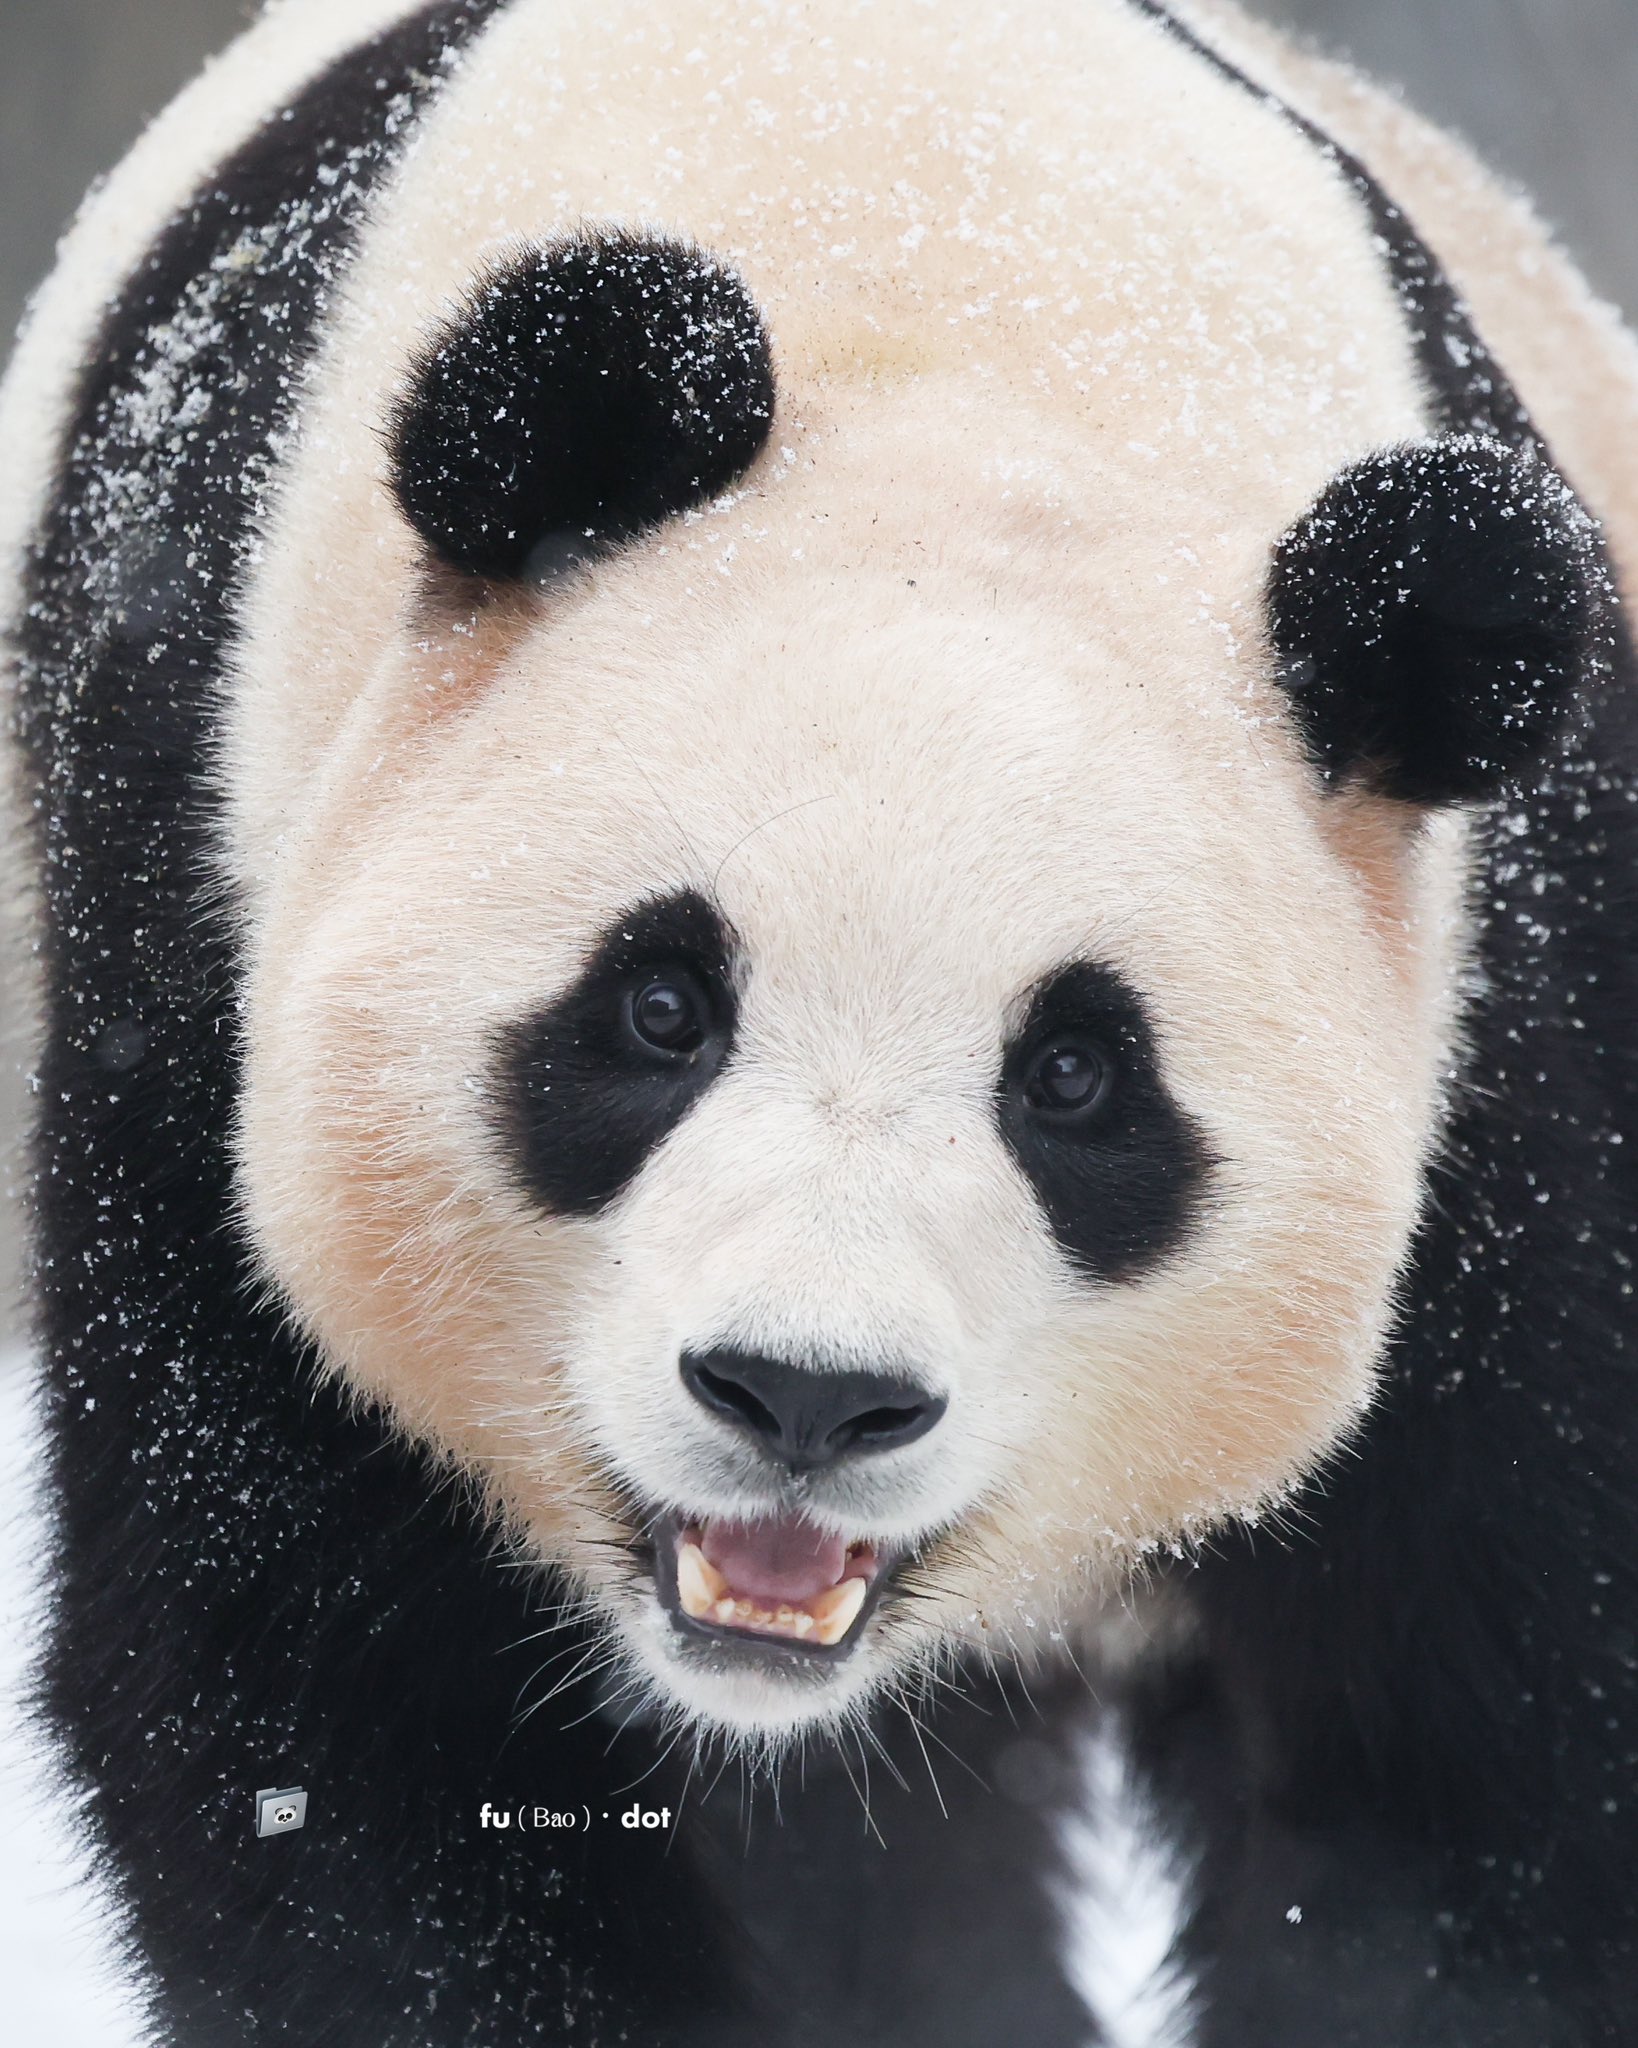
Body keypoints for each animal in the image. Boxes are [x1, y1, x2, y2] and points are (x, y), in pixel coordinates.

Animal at [3, 0, 1637, 2039]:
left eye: (1076, 1078)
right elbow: (338, 1733)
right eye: (659, 1006)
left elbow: (1459, 1791)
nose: (805, 1396)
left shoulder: (1503, 1058)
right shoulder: (198, 899)